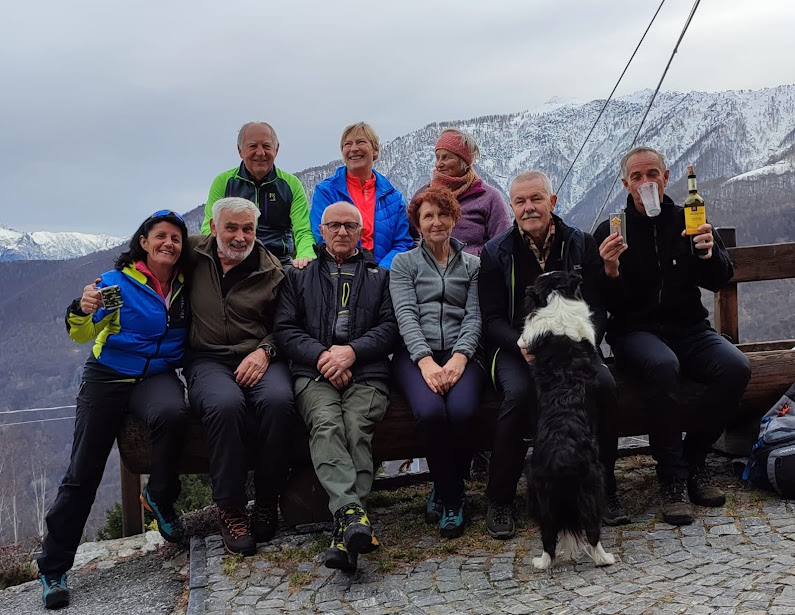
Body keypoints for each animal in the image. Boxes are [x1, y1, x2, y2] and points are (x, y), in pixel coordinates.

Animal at [518, 271, 615, 571]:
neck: (557, 298)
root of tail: (562, 459)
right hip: (593, 484)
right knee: (593, 531)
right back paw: (605, 559)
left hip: (539, 493)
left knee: (548, 535)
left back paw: (542, 562)